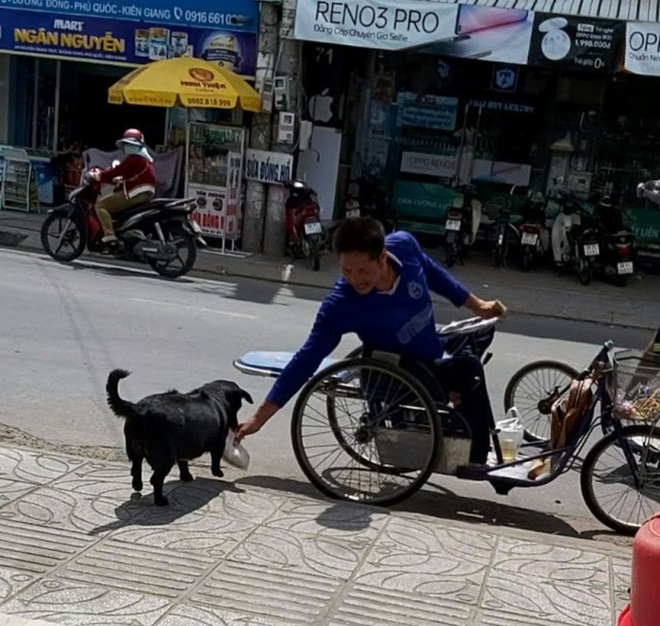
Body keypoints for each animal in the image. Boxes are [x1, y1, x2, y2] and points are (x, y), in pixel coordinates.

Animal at [105, 368, 253, 504]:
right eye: (238, 406)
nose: (236, 425)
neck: (215, 394)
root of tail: (138, 408)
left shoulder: (184, 446)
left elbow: (183, 462)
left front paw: (186, 476)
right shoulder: (219, 443)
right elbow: (215, 459)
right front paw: (217, 472)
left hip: (134, 449)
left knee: (136, 468)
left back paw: (137, 485)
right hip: (165, 459)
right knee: (156, 480)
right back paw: (160, 500)